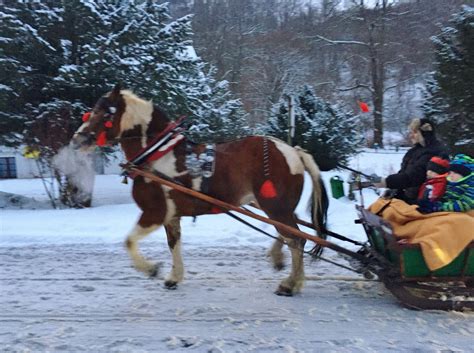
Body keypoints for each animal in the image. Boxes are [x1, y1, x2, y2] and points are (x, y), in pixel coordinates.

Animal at [72, 85, 328, 294]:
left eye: (106, 112)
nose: (77, 139)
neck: (155, 154)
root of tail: (293, 151)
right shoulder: (171, 215)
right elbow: (173, 244)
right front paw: (174, 276)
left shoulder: (154, 213)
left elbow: (128, 241)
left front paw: (150, 268)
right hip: (274, 206)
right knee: (290, 233)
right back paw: (280, 260)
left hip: (276, 206)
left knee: (296, 239)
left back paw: (292, 283)